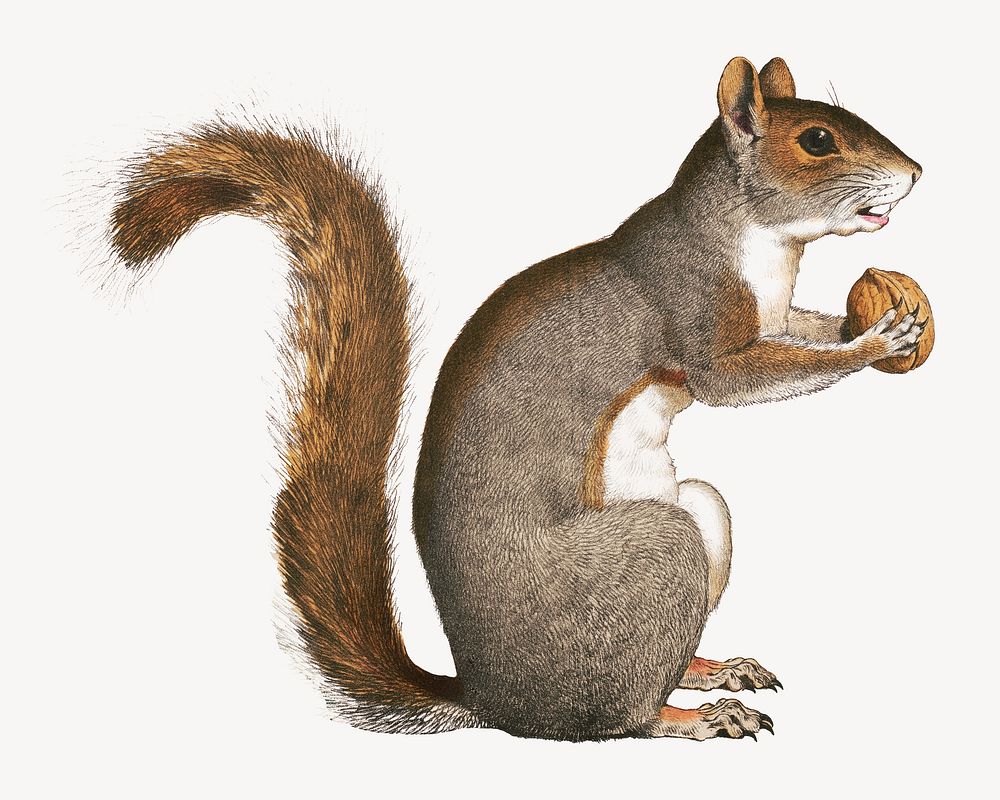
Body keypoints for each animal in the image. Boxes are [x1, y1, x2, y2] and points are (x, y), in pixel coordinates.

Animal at [108, 56, 924, 742]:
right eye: (816, 140)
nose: (915, 172)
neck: (765, 245)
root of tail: (494, 701)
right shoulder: (691, 310)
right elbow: (736, 380)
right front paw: (875, 340)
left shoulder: (774, 315)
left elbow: (800, 332)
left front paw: (868, 323)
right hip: (655, 555)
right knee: (619, 719)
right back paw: (694, 717)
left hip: (700, 512)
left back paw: (713, 668)